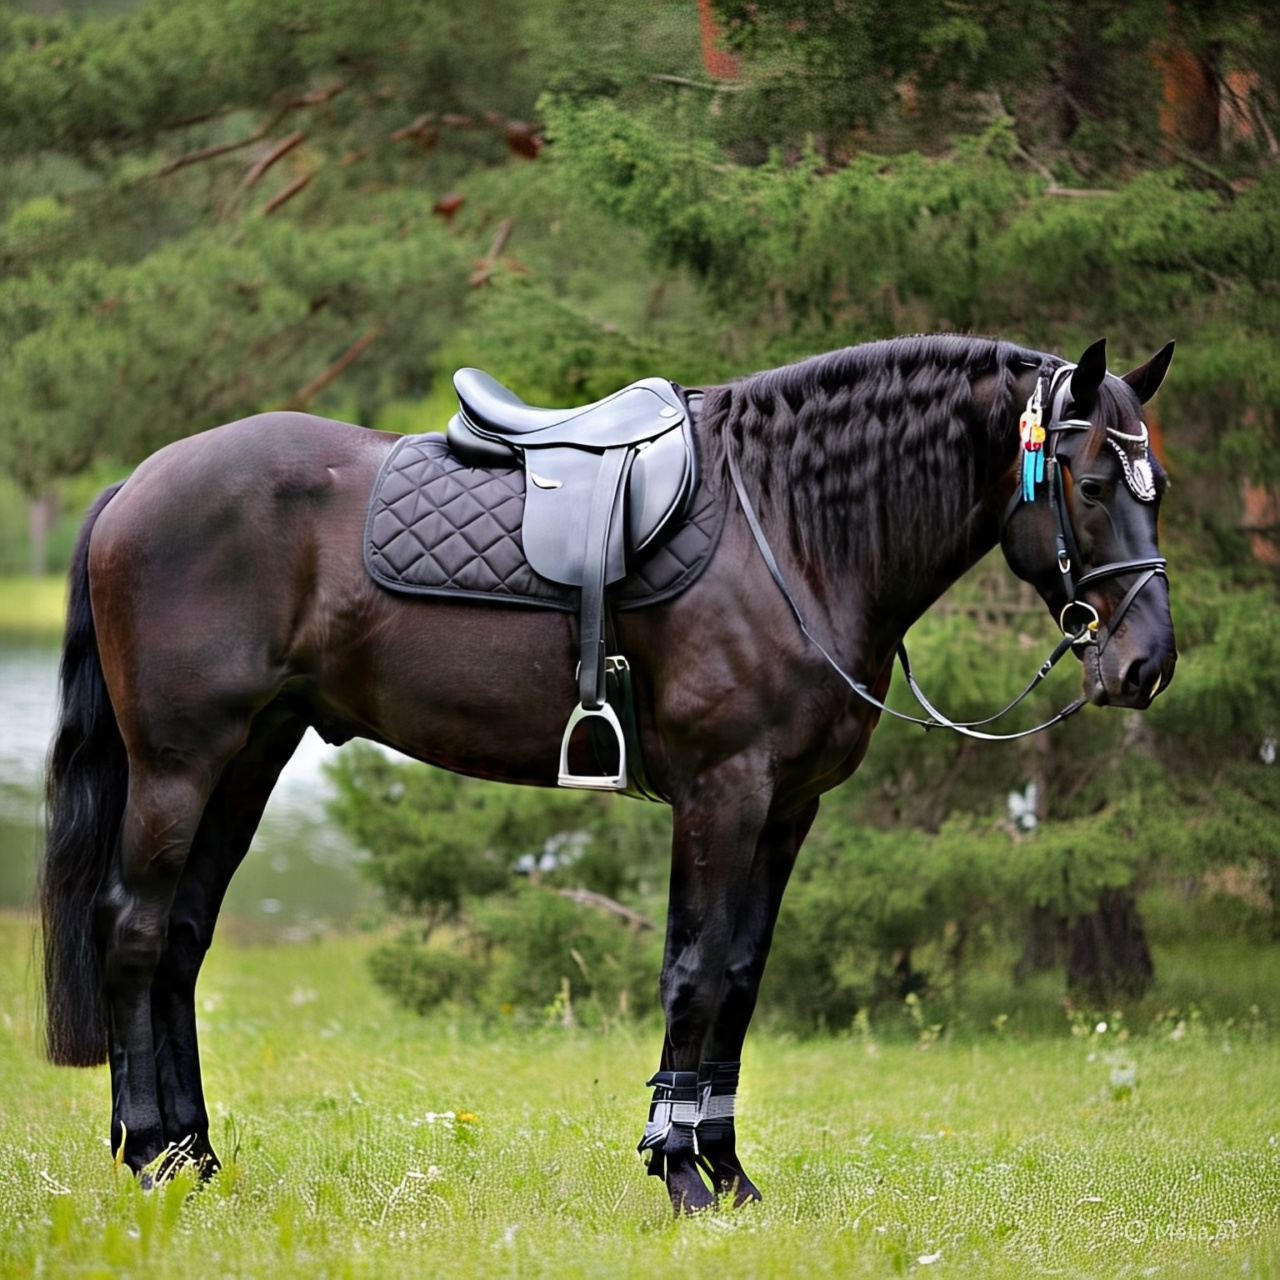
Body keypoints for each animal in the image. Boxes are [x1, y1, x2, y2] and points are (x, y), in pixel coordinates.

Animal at [40, 332, 1177, 1214]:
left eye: (1154, 488)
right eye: (1088, 483)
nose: (1146, 664)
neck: (787, 529)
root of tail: (139, 482)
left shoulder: (787, 809)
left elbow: (739, 980)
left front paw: (727, 1174)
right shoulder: (722, 793)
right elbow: (691, 972)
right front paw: (678, 1174)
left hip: (251, 755)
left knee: (182, 940)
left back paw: (195, 1156)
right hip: (180, 762)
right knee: (134, 932)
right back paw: (149, 1155)